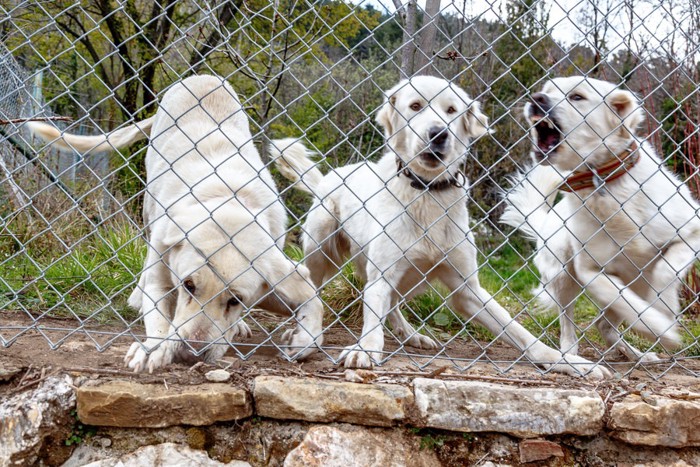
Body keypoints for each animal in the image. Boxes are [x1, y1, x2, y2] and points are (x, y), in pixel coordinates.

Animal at [27, 74, 322, 372]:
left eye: (235, 299)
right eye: (188, 285)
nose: (190, 354)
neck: (229, 199)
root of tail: (202, 76)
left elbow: (314, 304)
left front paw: (300, 339)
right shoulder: (161, 275)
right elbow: (158, 317)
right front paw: (153, 348)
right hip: (149, 205)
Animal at [274, 75, 608, 378]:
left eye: (451, 110)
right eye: (415, 106)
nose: (438, 133)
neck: (428, 192)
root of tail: (330, 177)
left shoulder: (467, 289)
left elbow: (519, 331)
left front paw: (565, 360)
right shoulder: (381, 277)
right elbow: (372, 320)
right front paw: (365, 348)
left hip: (410, 278)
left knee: (393, 306)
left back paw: (411, 335)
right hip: (321, 253)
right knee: (315, 294)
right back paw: (303, 331)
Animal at [500, 77, 696, 362]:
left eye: (577, 97)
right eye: (547, 90)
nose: (536, 98)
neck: (603, 184)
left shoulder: (691, 233)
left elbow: (665, 270)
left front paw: (664, 309)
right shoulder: (590, 270)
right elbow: (622, 298)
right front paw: (658, 327)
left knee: (605, 325)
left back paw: (638, 355)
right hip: (562, 274)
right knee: (571, 322)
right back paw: (571, 354)